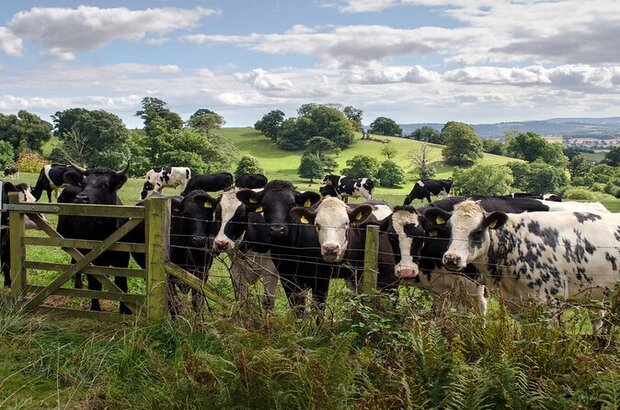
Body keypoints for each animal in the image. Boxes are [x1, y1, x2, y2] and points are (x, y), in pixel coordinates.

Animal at [56, 165, 133, 312]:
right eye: (83, 183)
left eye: (106, 185)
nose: (80, 198)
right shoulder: (89, 258)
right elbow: (94, 285)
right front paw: (95, 308)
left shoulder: (122, 259)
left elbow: (121, 285)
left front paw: (124, 311)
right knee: (75, 261)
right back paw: (78, 284)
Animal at [236, 179, 326, 314]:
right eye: (264, 205)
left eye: (292, 205)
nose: (277, 230)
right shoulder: (286, 278)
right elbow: (296, 306)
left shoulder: (320, 278)